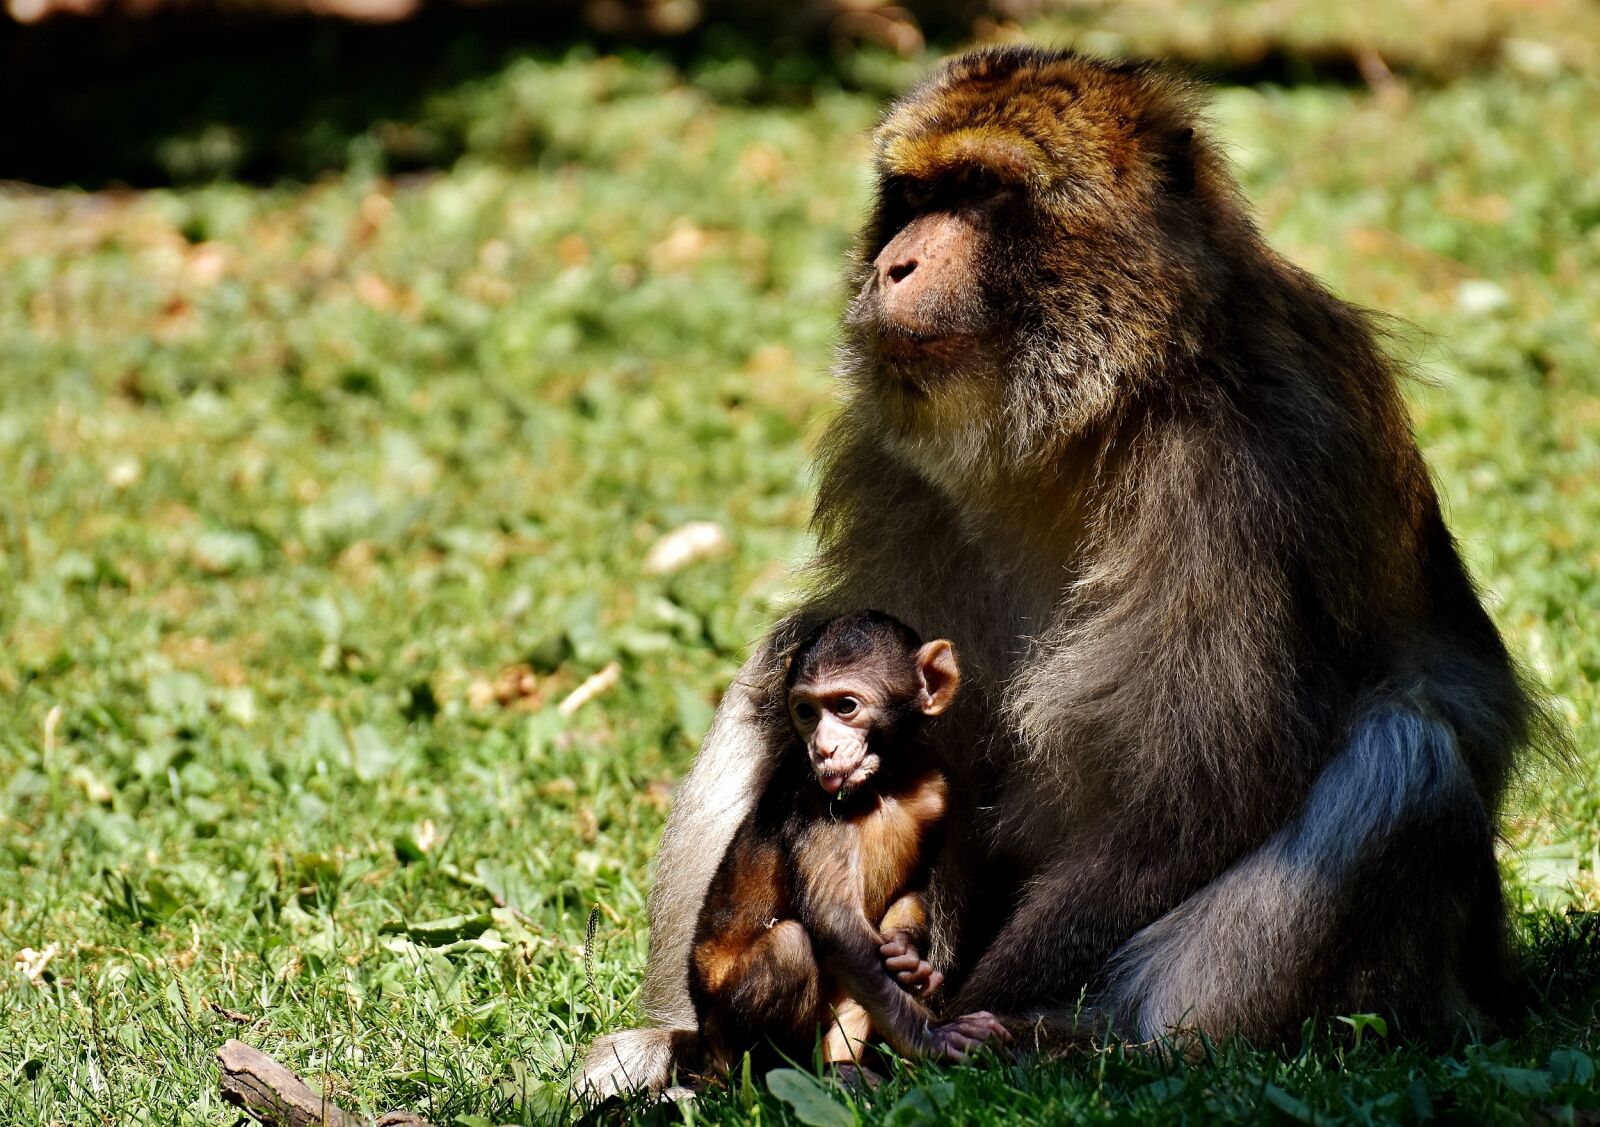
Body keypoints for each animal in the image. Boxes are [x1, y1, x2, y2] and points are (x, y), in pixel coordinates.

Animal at [681, 610, 1007, 1083]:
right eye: (805, 711)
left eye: (846, 707)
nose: (824, 748)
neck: (886, 783)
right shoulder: (814, 801)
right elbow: (834, 924)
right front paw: (934, 1037)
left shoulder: (937, 788)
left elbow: (915, 890)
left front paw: (909, 960)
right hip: (726, 1039)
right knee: (791, 948)